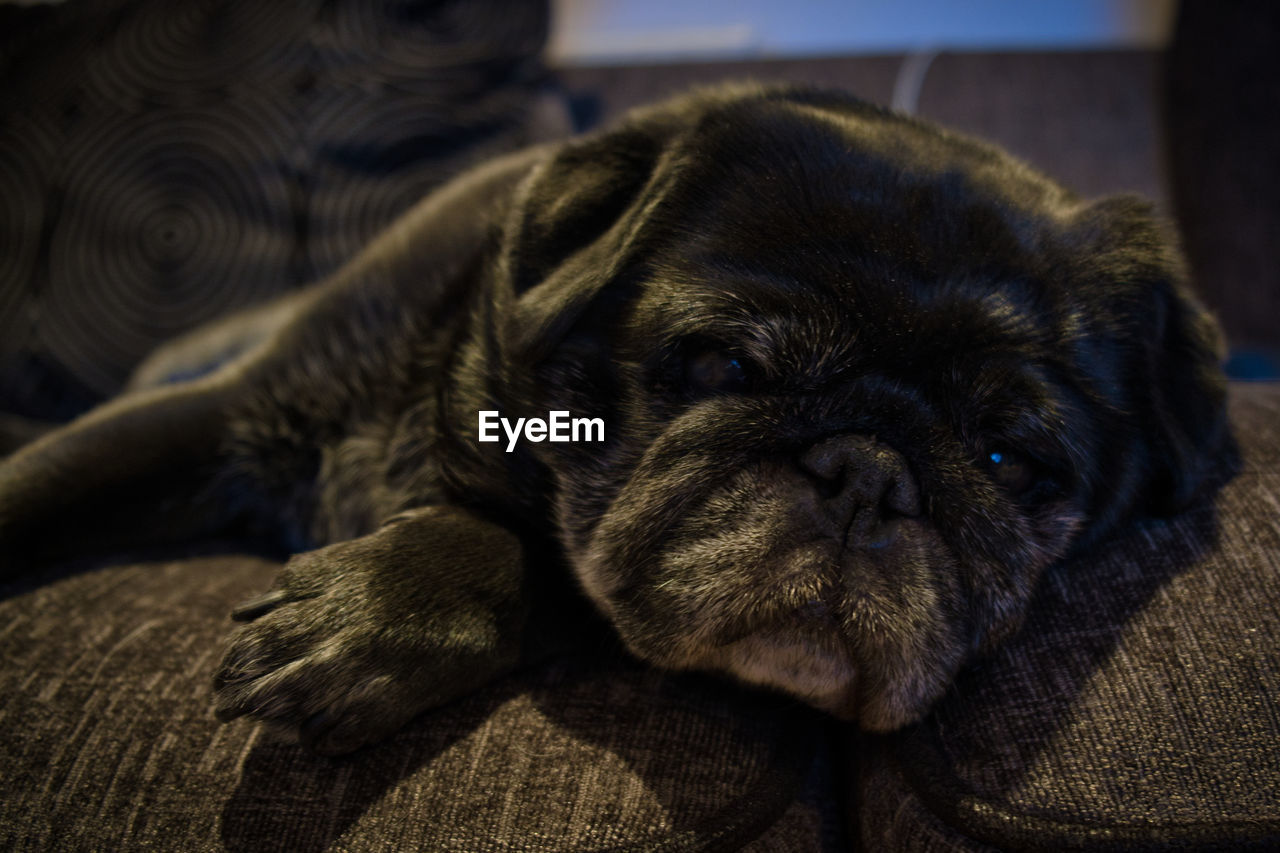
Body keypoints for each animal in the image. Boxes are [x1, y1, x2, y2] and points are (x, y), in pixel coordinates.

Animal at [0, 84, 1228, 753]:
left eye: (1007, 461)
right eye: (724, 364)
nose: (868, 474)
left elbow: (539, 557)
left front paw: (376, 610)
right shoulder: (212, 415)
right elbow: (39, 484)